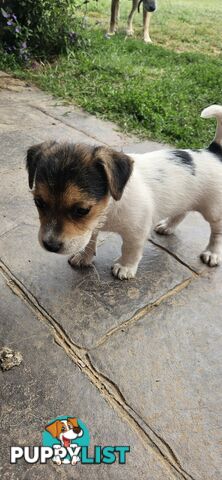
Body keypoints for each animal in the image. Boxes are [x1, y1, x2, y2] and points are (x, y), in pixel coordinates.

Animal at [26, 103, 222, 280]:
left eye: (81, 210)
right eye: (38, 202)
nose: (50, 245)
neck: (109, 207)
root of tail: (213, 152)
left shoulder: (136, 232)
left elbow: (130, 250)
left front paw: (125, 267)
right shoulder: (92, 225)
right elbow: (90, 241)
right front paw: (84, 257)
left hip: (214, 212)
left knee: (216, 234)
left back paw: (212, 254)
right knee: (181, 213)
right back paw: (167, 226)